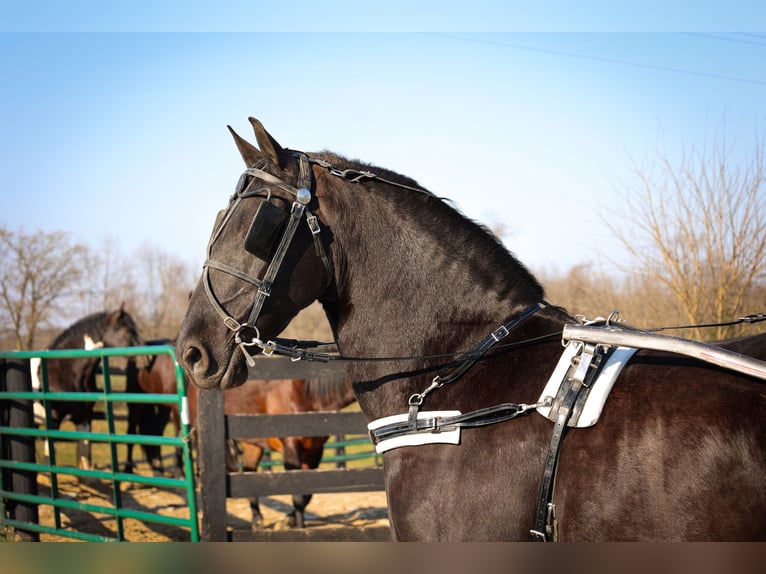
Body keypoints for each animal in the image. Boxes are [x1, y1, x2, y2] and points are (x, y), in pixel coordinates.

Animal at [40, 306, 142, 472]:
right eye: (127, 329)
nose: (147, 357)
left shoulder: (83, 417)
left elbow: (83, 455)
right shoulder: (53, 420)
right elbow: (48, 457)